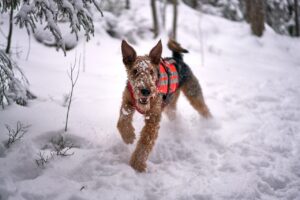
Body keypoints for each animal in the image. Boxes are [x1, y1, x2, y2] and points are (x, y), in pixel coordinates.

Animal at [117, 39, 211, 172]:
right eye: (135, 71)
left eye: (151, 71)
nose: (145, 91)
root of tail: (177, 58)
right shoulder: (127, 101)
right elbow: (122, 120)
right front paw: (128, 136)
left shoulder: (153, 118)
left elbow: (145, 142)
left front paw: (137, 165)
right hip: (170, 105)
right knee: (174, 113)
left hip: (193, 93)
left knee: (204, 109)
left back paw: (211, 124)